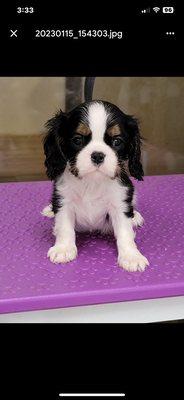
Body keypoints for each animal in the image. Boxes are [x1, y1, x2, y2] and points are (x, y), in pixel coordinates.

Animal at [42, 101, 149, 274]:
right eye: (77, 140)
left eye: (117, 141)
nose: (98, 155)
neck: (92, 182)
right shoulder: (64, 200)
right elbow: (65, 227)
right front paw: (64, 248)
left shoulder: (120, 201)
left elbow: (125, 232)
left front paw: (131, 256)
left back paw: (135, 217)